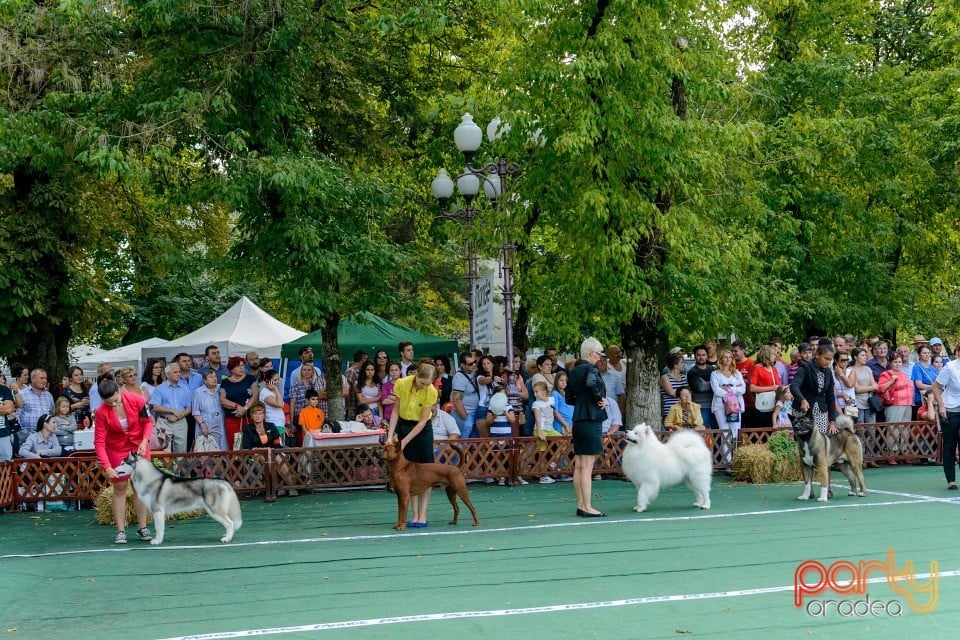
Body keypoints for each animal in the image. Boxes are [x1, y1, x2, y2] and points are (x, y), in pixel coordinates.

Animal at [114, 450, 242, 544]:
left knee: (230, 523)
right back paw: (227, 534)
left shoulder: (158, 511)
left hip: (214, 510)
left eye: (122, 463)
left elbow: (159, 528)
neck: (150, 479)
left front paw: (157, 541)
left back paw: (227, 539)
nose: (113, 470)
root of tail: (224, 482)